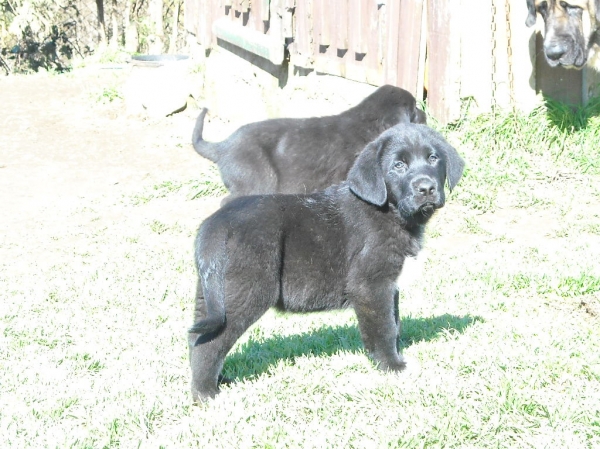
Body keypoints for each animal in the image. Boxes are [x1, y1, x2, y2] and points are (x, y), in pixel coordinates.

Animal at [188, 123, 464, 400]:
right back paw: (206, 393)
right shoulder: (371, 287)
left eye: (433, 158)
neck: (390, 211)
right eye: (398, 165)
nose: (426, 188)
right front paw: (393, 366)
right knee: (211, 344)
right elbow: (385, 327)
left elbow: (395, 323)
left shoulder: (390, 286)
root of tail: (215, 224)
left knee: (197, 338)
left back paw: (218, 381)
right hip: (246, 291)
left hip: (213, 293)